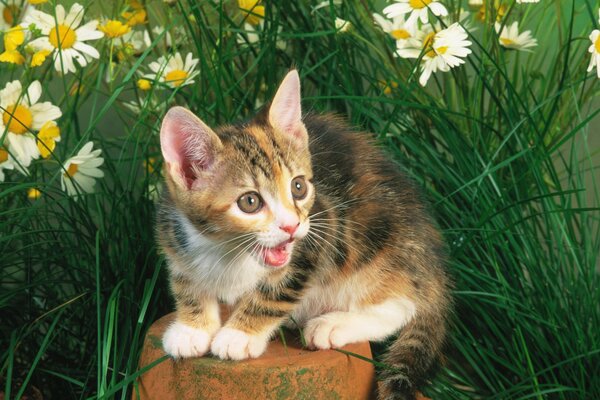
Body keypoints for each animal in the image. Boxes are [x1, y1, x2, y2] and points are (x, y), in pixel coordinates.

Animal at [156, 70, 450, 398]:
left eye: (298, 187)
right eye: (249, 202)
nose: (291, 226)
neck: (226, 249)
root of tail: (432, 266)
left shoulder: (319, 232)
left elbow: (275, 292)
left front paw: (239, 334)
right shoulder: (173, 234)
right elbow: (186, 283)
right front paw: (191, 327)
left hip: (373, 239)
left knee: (402, 305)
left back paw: (332, 325)